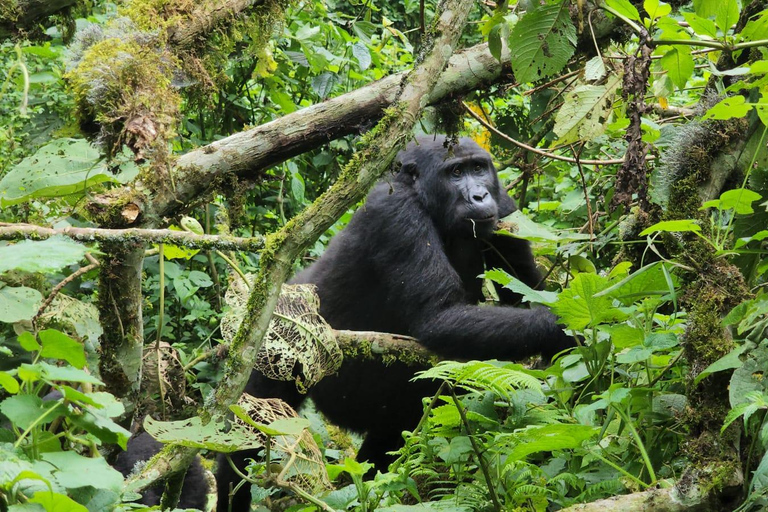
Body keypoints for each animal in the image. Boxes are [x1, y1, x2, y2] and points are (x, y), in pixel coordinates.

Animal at [214, 134, 568, 510]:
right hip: (274, 342)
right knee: (253, 430)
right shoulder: (397, 213)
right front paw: (560, 329)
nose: (479, 195)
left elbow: (525, 291)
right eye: (456, 173)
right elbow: (440, 319)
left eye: (478, 168)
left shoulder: (504, 207)